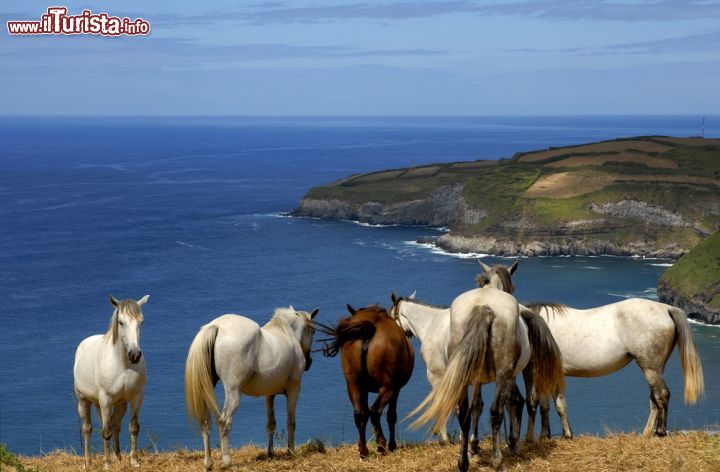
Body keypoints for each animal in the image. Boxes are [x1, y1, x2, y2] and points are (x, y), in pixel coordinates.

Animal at [73, 296, 149, 468]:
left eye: (141, 321)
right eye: (121, 322)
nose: (135, 355)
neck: (123, 364)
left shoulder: (136, 397)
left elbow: (133, 427)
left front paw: (134, 461)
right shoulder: (105, 399)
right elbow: (105, 431)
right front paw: (107, 464)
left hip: (119, 403)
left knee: (116, 425)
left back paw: (117, 456)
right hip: (84, 399)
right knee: (87, 428)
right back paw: (87, 461)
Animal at [186, 306, 318, 468]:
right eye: (313, 331)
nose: (309, 363)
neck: (287, 333)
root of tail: (216, 326)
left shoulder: (269, 394)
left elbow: (271, 424)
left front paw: (270, 453)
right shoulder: (294, 390)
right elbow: (291, 423)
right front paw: (291, 452)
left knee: (205, 423)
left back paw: (208, 463)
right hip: (233, 393)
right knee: (224, 422)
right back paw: (226, 461)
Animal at [320, 304, 416, 460]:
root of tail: (369, 331)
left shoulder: (363, 388)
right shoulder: (396, 389)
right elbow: (391, 415)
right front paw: (392, 445)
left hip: (353, 384)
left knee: (360, 414)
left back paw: (364, 451)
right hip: (387, 387)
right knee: (375, 412)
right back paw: (382, 446)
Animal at [476, 262, 704, 438]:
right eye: (481, 284)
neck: (529, 324)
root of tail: (666, 308)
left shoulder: (535, 371)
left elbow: (539, 403)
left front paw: (538, 437)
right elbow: (551, 404)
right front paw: (556, 434)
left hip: (650, 367)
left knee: (662, 395)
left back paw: (660, 432)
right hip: (654, 367)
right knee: (654, 399)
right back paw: (647, 433)